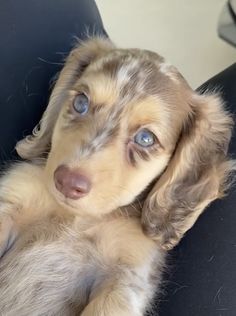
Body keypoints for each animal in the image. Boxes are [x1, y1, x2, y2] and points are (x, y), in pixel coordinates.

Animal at [0, 36, 234, 314]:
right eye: (81, 103)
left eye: (145, 139)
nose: (66, 183)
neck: (80, 220)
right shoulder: (13, 199)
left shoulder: (126, 278)